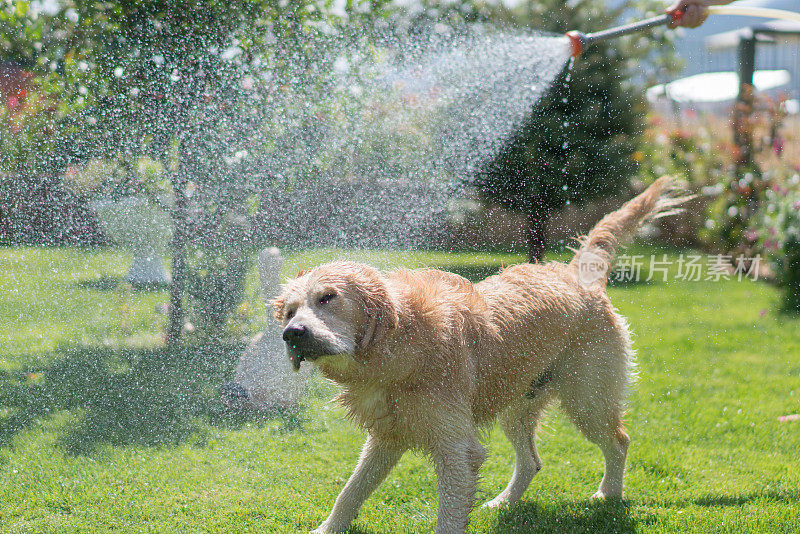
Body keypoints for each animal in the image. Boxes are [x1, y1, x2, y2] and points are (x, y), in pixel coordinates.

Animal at [274, 178, 680, 532]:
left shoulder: (456, 447)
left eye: (328, 297)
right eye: (290, 311)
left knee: (618, 441)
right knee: (532, 461)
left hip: (587, 400)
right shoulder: (387, 437)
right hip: (516, 405)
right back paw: (503, 502)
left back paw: (608, 495)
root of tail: (577, 276)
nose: (292, 334)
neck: (398, 345)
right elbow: (351, 490)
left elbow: (449, 517)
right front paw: (327, 528)